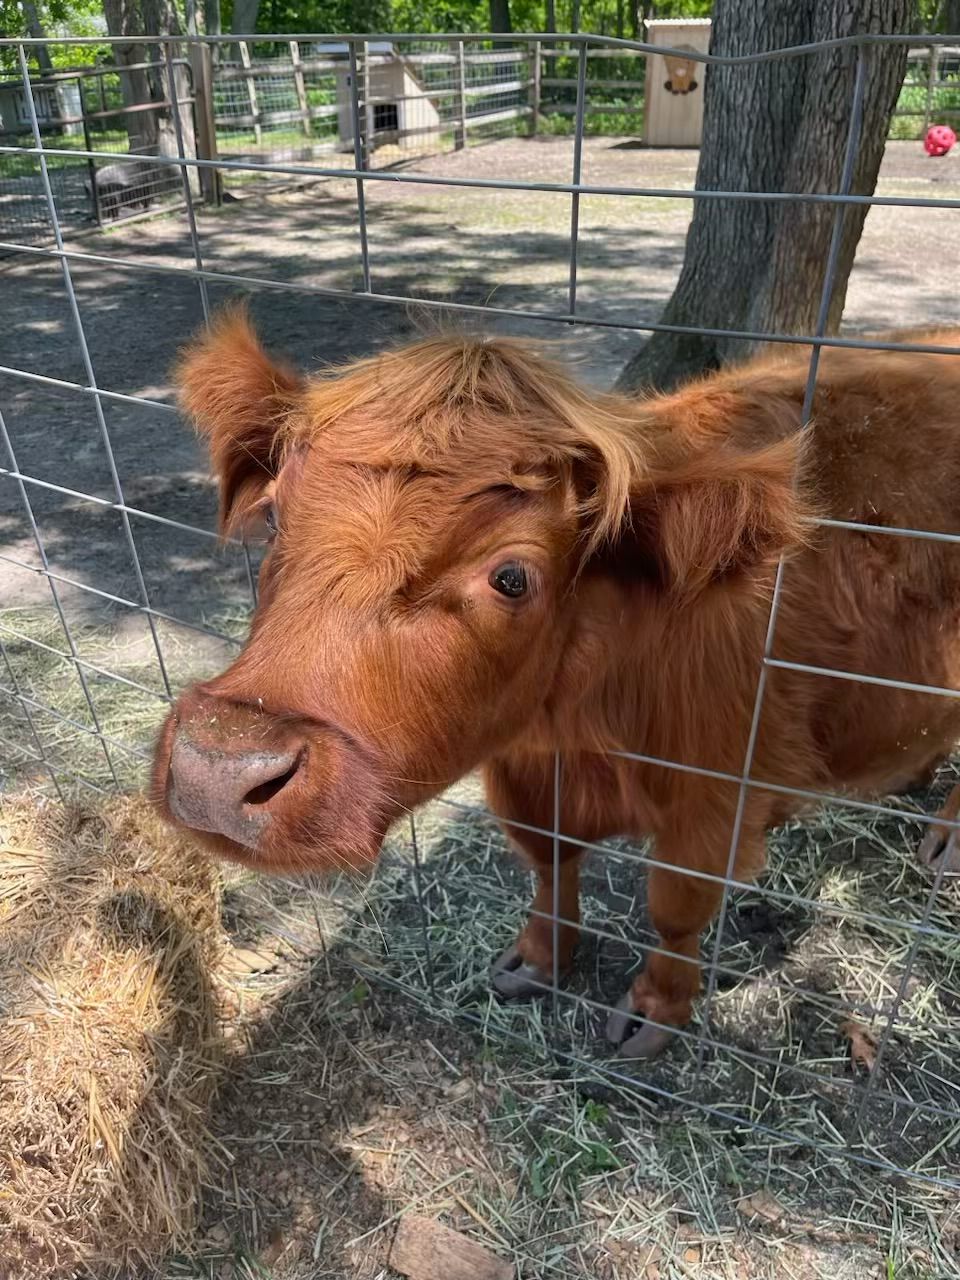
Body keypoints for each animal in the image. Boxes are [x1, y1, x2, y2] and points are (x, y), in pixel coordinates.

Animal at [153, 310, 960, 1059]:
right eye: (274, 517)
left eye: (511, 577)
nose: (217, 766)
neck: (580, 725)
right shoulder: (525, 772)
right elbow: (547, 860)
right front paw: (540, 957)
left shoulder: (713, 802)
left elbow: (675, 909)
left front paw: (657, 1008)